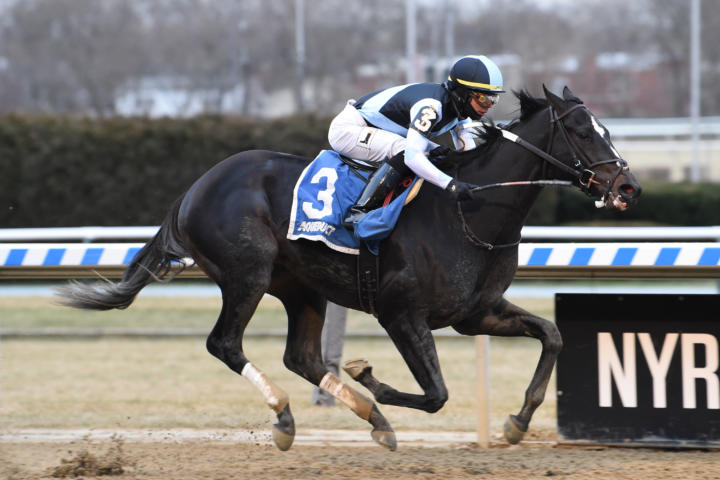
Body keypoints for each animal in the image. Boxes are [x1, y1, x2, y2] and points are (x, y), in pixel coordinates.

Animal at [56, 86, 640, 450]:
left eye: (607, 128)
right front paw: (368, 376)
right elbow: (436, 394)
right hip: (247, 275)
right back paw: (291, 414)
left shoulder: (476, 313)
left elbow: (552, 336)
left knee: (302, 357)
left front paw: (517, 422)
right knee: (225, 344)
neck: (469, 211)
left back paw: (368, 418)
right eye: (583, 131)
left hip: (302, 288)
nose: (628, 187)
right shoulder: (402, 314)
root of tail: (197, 186)